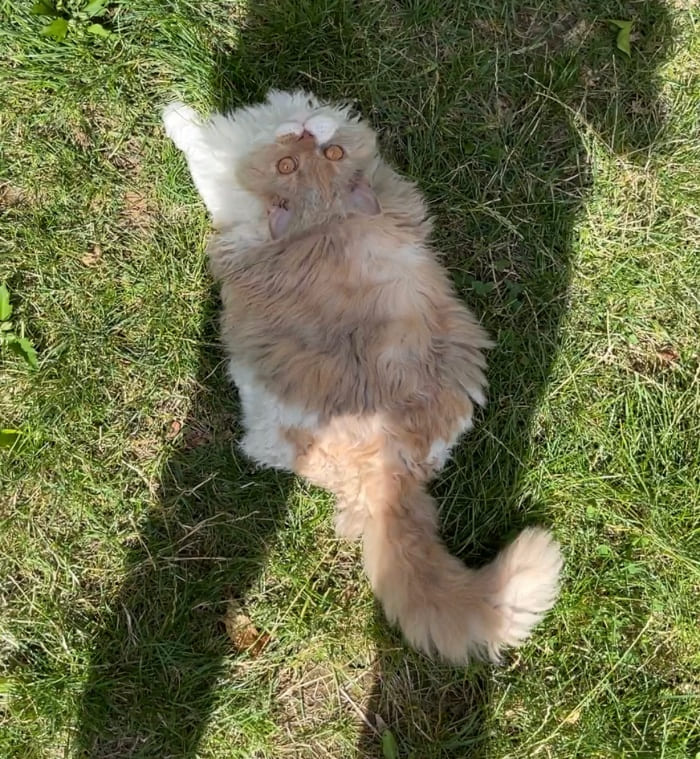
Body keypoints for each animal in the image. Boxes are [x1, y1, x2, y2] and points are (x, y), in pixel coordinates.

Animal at [163, 90, 562, 664]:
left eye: (327, 156)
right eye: (289, 164)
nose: (306, 130)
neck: (325, 219)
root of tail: (395, 465)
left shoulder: (220, 181)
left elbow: (194, 140)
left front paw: (173, 113)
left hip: (272, 416)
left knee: (264, 450)